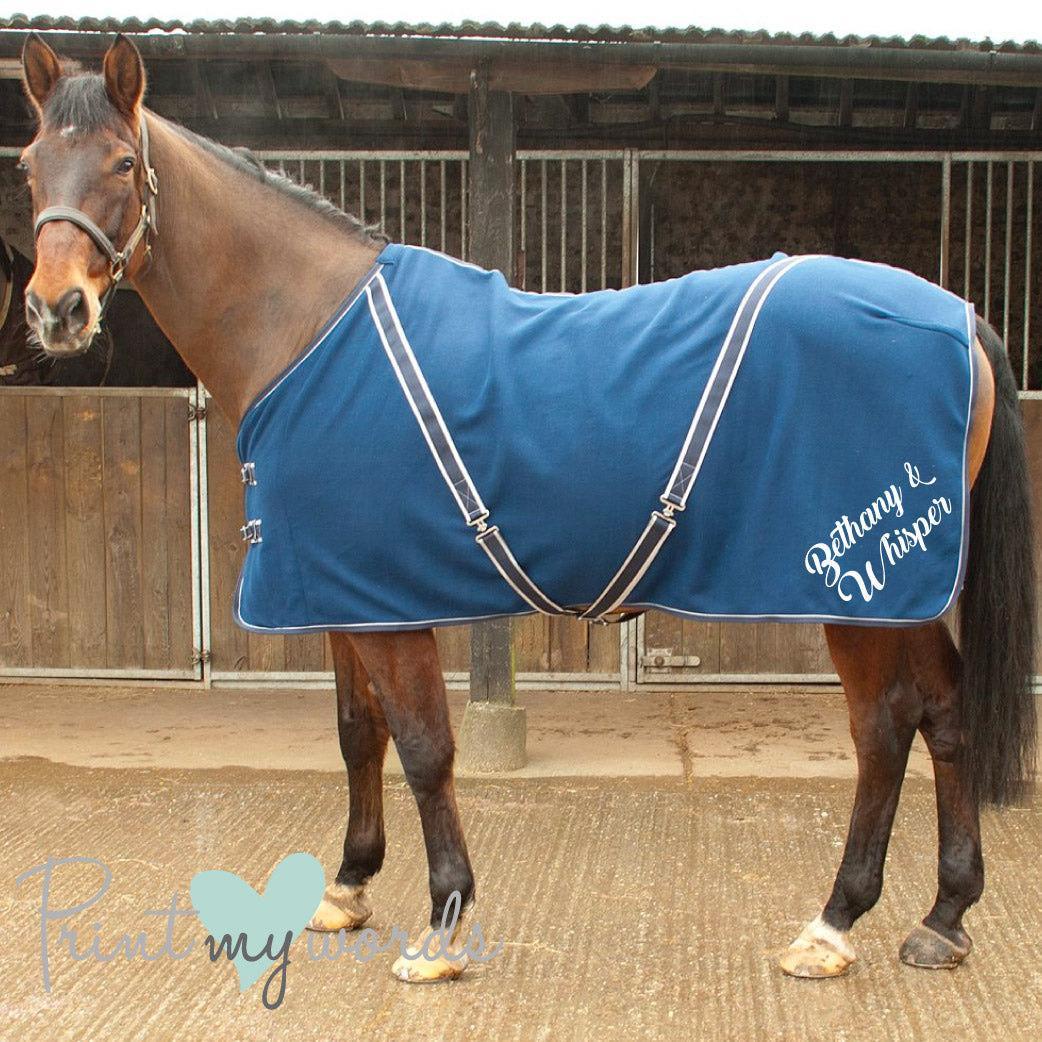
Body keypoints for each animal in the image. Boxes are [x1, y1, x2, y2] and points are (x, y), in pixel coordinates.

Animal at [17, 33, 1037, 982]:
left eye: (121, 163)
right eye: (28, 164)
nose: (56, 311)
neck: (308, 330)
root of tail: (958, 316)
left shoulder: (390, 613)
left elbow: (425, 748)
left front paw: (441, 929)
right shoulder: (341, 593)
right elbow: (356, 736)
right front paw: (348, 888)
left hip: (857, 590)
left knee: (883, 730)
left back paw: (834, 924)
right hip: (899, 593)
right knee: (944, 715)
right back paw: (942, 917)